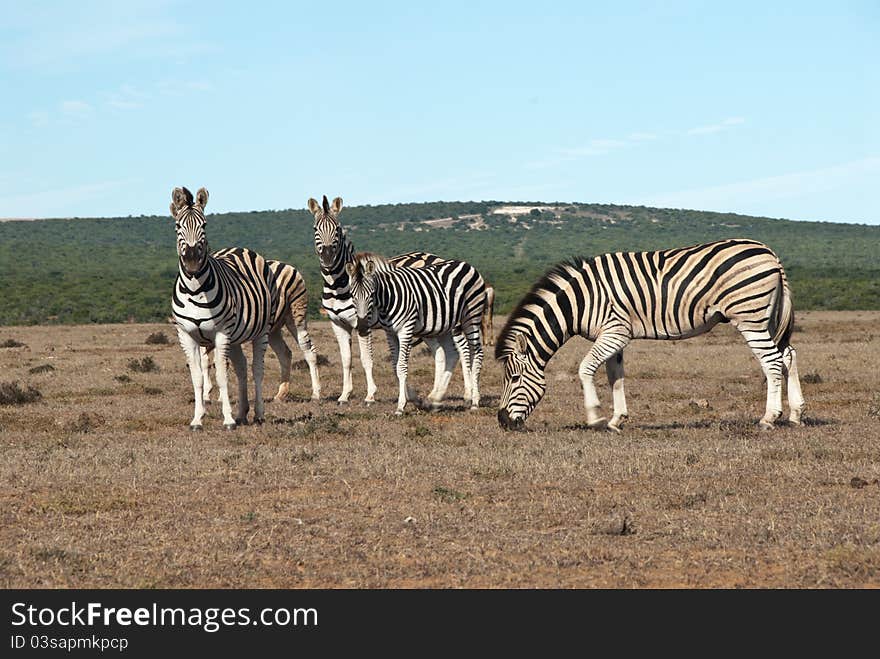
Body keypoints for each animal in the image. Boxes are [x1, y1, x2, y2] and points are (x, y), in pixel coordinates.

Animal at [170, 187, 280, 434]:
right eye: (178, 226)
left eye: (204, 225)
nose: (192, 263)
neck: (195, 289)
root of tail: (241, 248)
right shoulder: (186, 335)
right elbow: (198, 377)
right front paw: (197, 419)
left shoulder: (221, 333)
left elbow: (221, 375)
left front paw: (228, 419)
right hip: (236, 336)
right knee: (241, 368)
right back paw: (242, 413)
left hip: (261, 330)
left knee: (256, 369)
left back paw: (258, 414)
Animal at [199, 255, 320, 404]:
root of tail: (286, 265)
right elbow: (204, 362)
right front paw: (206, 395)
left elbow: (220, 361)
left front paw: (221, 397)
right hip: (273, 329)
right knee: (285, 353)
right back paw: (281, 394)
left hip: (296, 316)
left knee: (309, 350)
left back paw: (316, 394)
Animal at [344, 255, 484, 416]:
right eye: (352, 295)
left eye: (372, 294)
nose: (361, 327)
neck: (388, 298)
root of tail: (466, 264)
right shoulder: (390, 333)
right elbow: (395, 366)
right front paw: (410, 399)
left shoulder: (406, 329)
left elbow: (401, 366)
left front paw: (401, 406)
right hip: (444, 325)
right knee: (451, 354)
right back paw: (436, 400)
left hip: (471, 316)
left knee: (477, 352)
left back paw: (474, 401)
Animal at [496, 237, 804, 434]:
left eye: (514, 378)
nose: (502, 422)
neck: (581, 301)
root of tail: (770, 253)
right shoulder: (616, 336)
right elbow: (616, 378)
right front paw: (617, 420)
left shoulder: (614, 332)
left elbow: (585, 369)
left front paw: (596, 417)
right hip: (768, 317)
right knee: (788, 355)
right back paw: (796, 414)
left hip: (750, 316)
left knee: (772, 362)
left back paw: (769, 418)